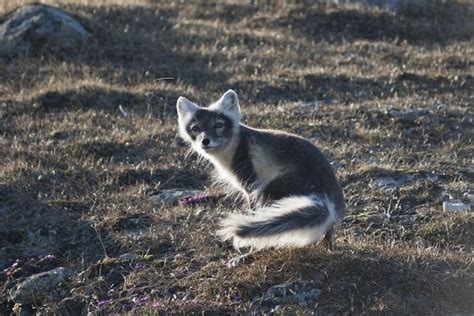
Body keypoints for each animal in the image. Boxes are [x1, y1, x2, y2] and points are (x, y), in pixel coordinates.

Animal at [178, 90, 344, 253]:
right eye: (195, 128)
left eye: (219, 124)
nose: (205, 141)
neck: (235, 146)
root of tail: (327, 195)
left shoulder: (250, 184)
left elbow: (252, 210)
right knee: (329, 230)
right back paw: (328, 249)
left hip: (271, 189)